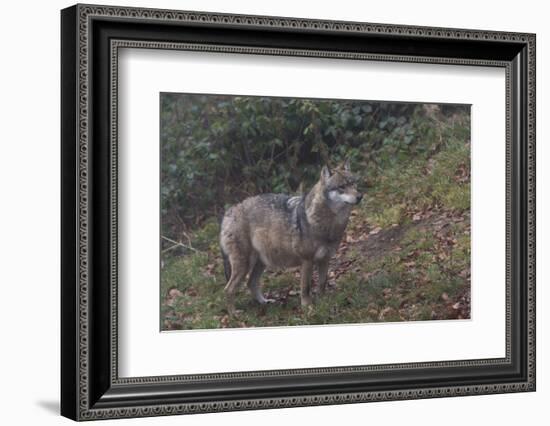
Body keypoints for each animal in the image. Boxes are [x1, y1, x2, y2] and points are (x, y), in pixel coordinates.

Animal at [220, 161, 366, 314]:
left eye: (354, 183)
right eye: (342, 187)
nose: (360, 196)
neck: (327, 224)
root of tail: (228, 213)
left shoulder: (325, 259)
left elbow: (322, 283)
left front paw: (324, 302)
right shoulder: (307, 261)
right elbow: (306, 288)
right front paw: (308, 307)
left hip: (261, 263)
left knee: (251, 283)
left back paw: (264, 302)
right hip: (245, 265)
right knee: (228, 289)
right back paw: (234, 314)